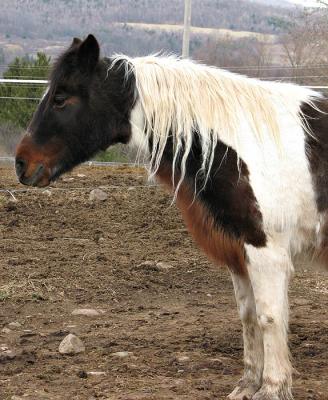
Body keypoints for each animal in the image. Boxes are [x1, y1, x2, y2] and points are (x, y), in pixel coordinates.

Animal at [14, 35, 328, 400]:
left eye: (61, 98)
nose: (21, 164)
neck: (247, 143)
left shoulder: (266, 251)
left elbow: (270, 317)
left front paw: (271, 388)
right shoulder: (239, 253)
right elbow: (248, 317)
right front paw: (248, 384)